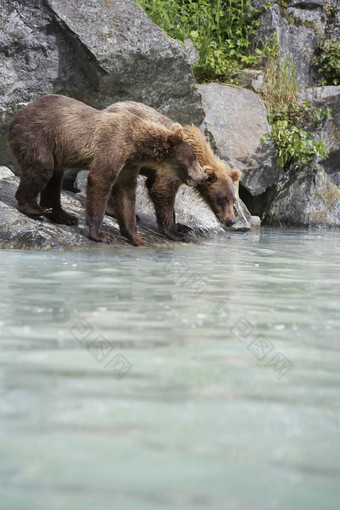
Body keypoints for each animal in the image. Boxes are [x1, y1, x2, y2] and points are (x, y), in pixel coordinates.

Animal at [7, 97, 207, 247]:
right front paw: (101, 235)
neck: (137, 145)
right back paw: (34, 208)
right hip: (39, 136)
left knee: (54, 179)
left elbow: (126, 195)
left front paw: (136, 237)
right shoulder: (113, 145)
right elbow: (100, 180)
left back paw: (64, 216)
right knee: (41, 169)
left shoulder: (128, 165)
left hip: (57, 148)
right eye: (193, 158)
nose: (203, 176)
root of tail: (20, 112)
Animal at [105, 102, 240, 242]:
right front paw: (177, 233)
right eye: (222, 198)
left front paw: (183, 227)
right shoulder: (174, 164)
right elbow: (163, 189)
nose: (231, 221)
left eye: (233, 200)